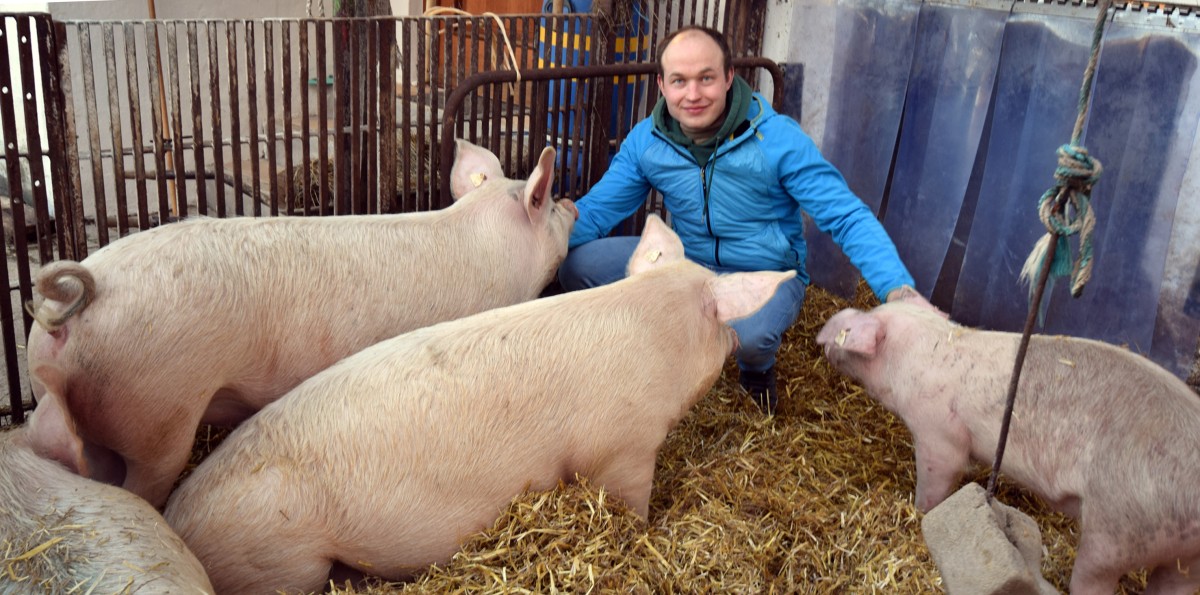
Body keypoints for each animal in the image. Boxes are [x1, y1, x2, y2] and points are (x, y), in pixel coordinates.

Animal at [162, 212, 796, 590]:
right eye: (722, 322)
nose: (737, 341)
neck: (657, 332)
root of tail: (178, 521)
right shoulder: (625, 450)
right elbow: (633, 506)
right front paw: (647, 531)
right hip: (286, 563)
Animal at [816, 304, 1200, 592]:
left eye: (846, 331)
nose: (823, 333)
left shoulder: (938, 434)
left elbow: (938, 476)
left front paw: (920, 511)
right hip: (1184, 558)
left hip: (1117, 531)